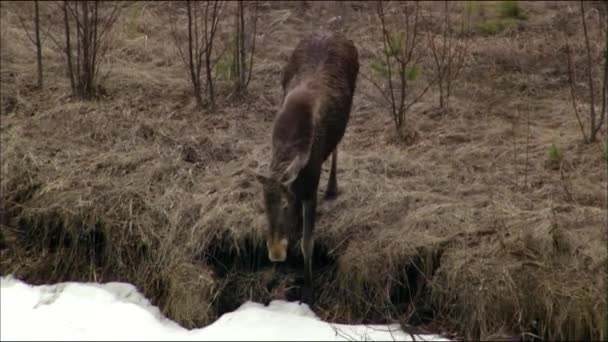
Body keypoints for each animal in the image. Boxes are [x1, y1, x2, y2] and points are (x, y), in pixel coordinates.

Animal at [253, 32, 358, 304]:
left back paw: (332, 187)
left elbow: (306, 243)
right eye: (263, 206)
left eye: (284, 203)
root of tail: (334, 33)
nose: (275, 254)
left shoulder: (310, 189)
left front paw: (308, 291)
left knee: (337, 146)